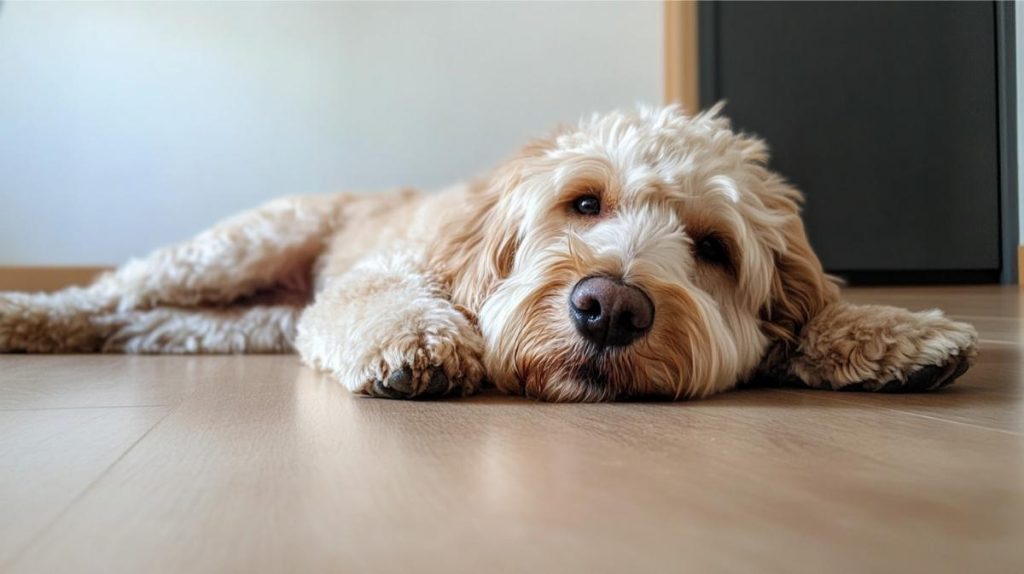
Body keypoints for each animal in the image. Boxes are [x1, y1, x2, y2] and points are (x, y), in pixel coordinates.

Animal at [0, 105, 974, 401]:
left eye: (712, 248)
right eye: (584, 202)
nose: (609, 308)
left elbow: (823, 310)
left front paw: (893, 334)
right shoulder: (385, 273)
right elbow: (386, 303)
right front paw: (420, 345)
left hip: (244, 324)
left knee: (141, 325)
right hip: (241, 246)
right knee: (108, 293)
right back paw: (24, 315)